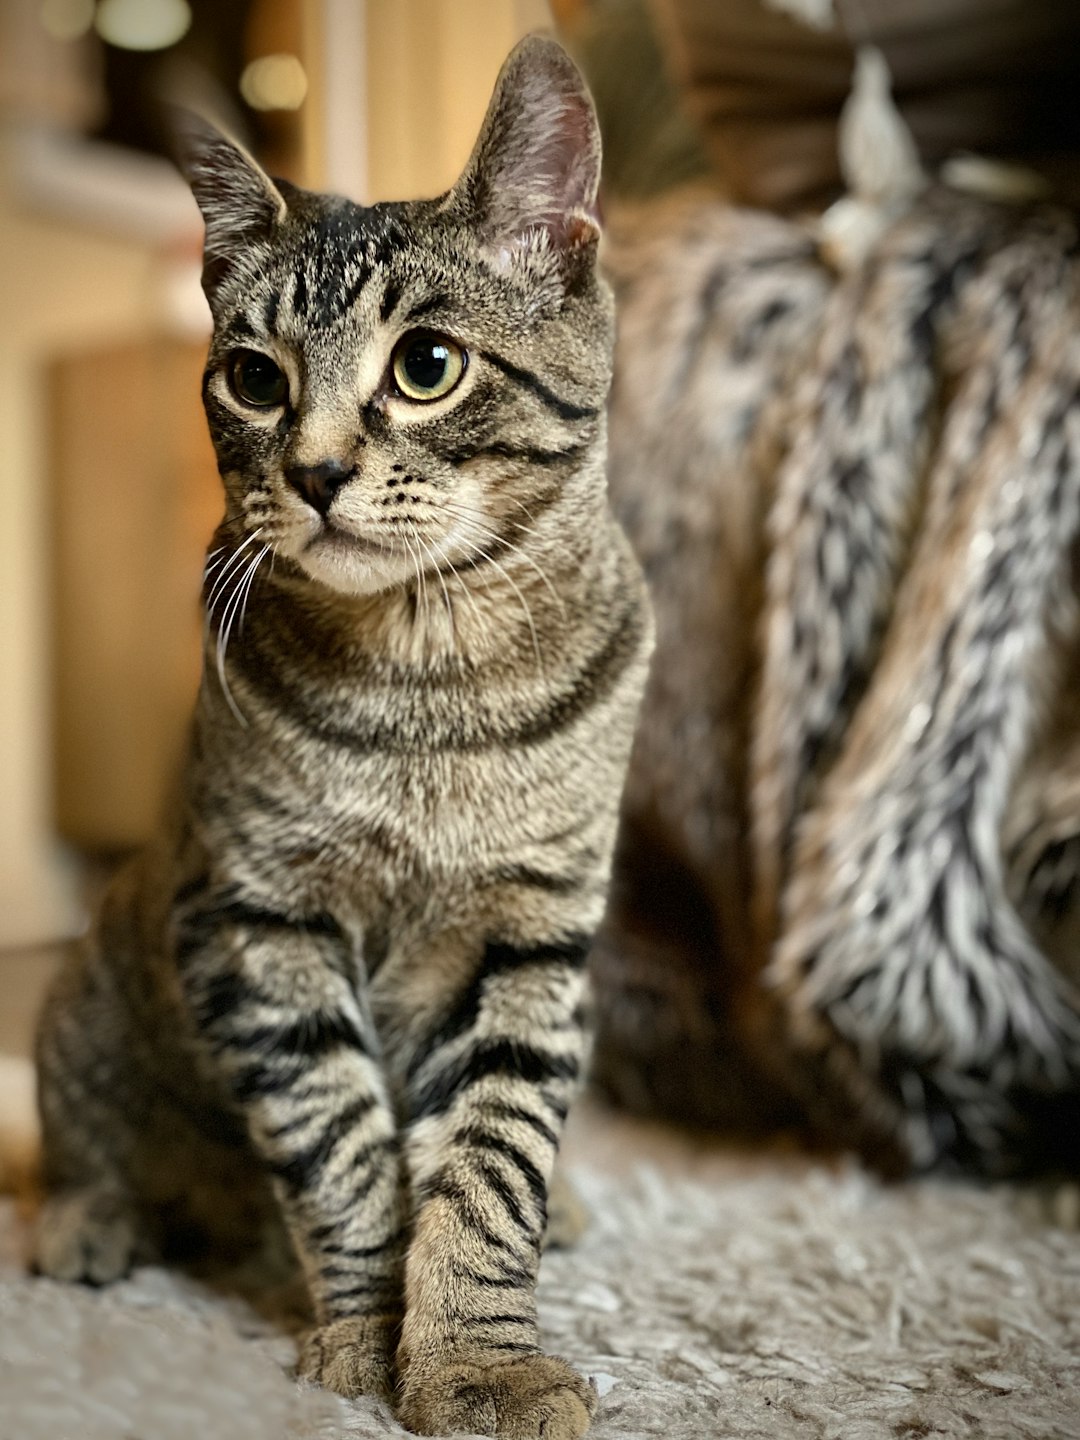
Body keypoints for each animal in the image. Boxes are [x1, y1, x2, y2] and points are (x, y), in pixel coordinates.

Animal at [36, 36, 650, 1440]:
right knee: (89, 1136)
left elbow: (491, 1160)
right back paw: (89, 1219)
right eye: (254, 378)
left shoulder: (536, 934)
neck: (434, 687)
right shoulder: (256, 923)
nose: (312, 473)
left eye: (427, 366)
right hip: (91, 996)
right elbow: (342, 1146)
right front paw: (373, 1344)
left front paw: (476, 1357)